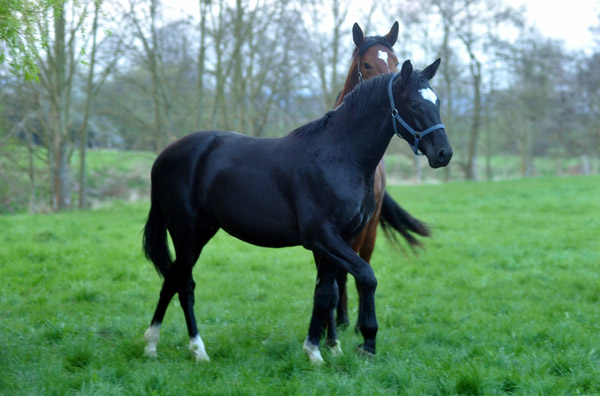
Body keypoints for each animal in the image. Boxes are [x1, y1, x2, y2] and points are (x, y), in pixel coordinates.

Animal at [142, 58, 450, 366]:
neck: (339, 157)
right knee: (184, 284)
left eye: (437, 101)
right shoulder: (323, 237)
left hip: (201, 233)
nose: (444, 153)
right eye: (414, 104)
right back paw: (198, 350)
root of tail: (162, 158)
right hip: (186, 234)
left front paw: (319, 348)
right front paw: (366, 343)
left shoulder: (340, 239)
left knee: (171, 279)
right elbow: (366, 276)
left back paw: (151, 345)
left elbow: (326, 292)